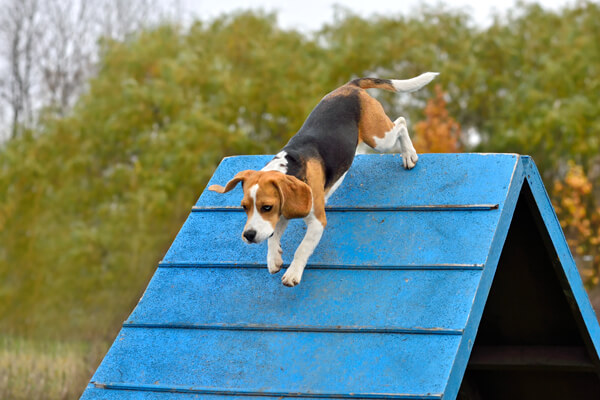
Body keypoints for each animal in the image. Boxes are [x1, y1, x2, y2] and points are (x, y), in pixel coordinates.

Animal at [209, 71, 438, 284]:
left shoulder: (316, 221)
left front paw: (293, 273)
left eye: (266, 207)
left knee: (401, 123)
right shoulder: (283, 212)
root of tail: (350, 85)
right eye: (244, 207)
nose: (248, 235)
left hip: (378, 137)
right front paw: (273, 259)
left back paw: (409, 154)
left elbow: (302, 248)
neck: (289, 167)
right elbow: (272, 237)